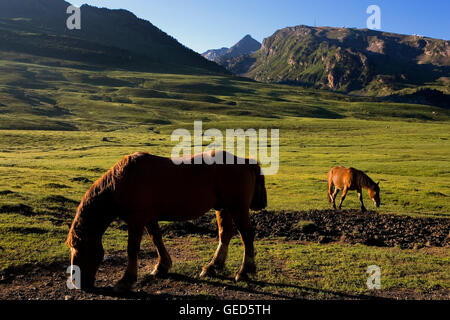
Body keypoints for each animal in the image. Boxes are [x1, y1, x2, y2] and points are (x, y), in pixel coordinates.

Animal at [65, 150, 266, 290]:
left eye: (78, 247)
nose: (77, 284)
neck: (121, 182)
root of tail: (246, 162)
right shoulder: (149, 218)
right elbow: (156, 239)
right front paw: (162, 266)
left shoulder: (136, 220)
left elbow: (132, 249)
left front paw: (126, 280)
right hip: (223, 208)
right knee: (225, 234)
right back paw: (212, 267)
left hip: (237, 208)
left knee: (246, 235)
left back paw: (244, 272)